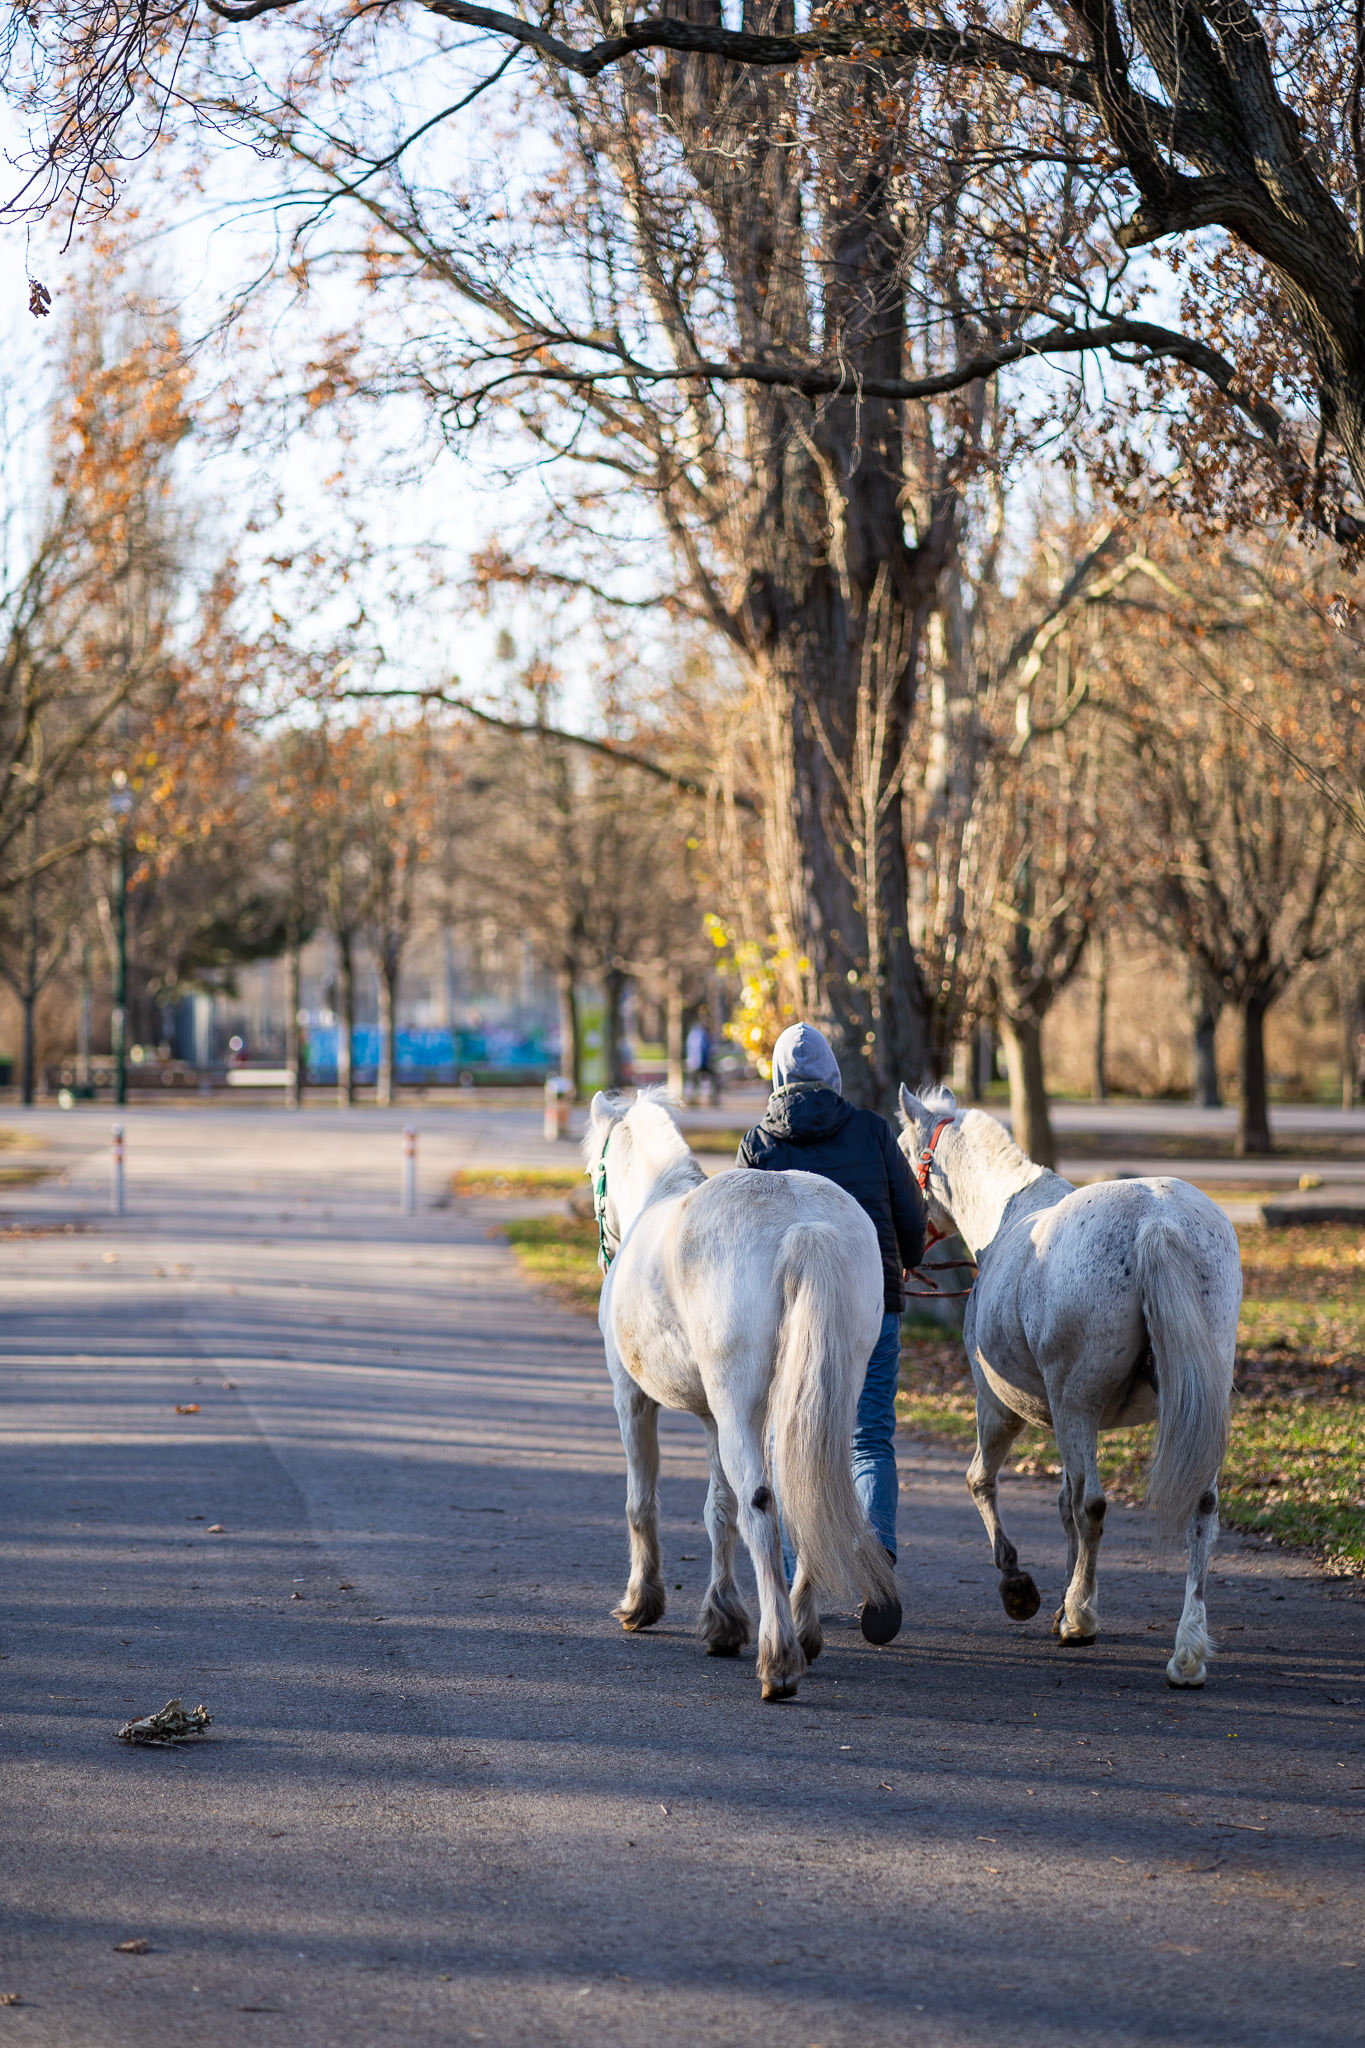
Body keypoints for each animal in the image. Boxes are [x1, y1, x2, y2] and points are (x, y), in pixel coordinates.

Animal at [585, 1097, 896, 1703]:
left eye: (594, 1170)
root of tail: (802, 1222)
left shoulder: (630, 1398)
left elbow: (643, 1502)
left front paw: (642, 1602)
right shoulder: (712, 1418)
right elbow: (718, 1510)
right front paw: (723, 1620)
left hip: (738, 1409)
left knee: (762, 1507)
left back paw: (778, 1661)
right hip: (821, 1395)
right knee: (803, 1495)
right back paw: (804, 1632)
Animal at [900, 1081, 1244, 1687]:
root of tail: (1155, 1220)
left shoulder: (1001, 1409)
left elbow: (983, 1483)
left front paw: (1028, 1590)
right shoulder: (1067, 1420)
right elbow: (1062, 1505)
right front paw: (1062, 1598)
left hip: (1073, 1405)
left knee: (1093, 1505)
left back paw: (1082, 1618)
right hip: (1175, 1408)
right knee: (1200, 1510)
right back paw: (1186, 1651)